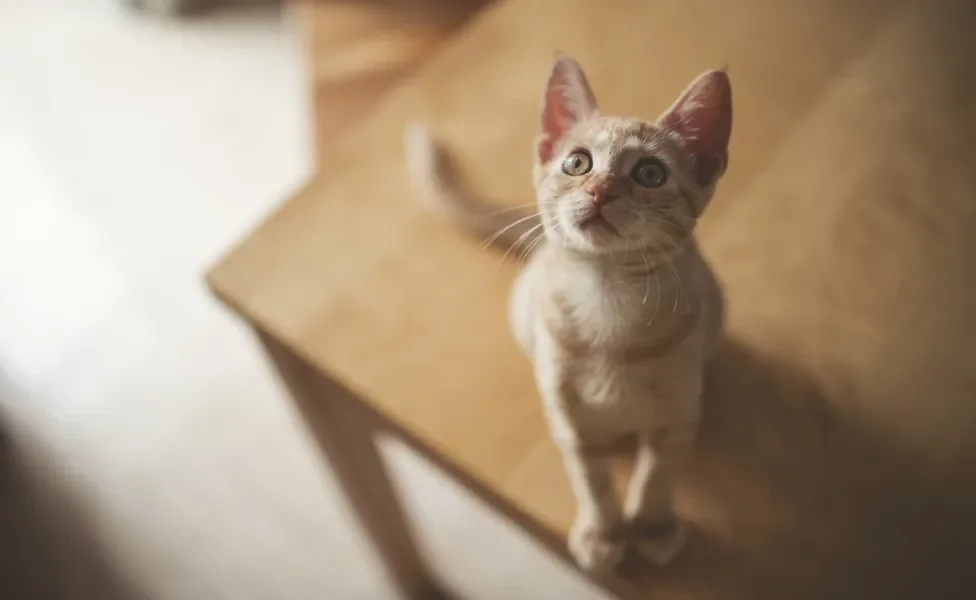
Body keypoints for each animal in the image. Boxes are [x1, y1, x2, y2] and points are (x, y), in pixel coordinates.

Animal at [400, 57, 728, 576]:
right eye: (578, 163)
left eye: (650, 173)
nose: (600, 190)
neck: (609, 305)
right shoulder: (571, 421)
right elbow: (593, 483)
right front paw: (603, 534)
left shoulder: (676, 417)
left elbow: (657, 475)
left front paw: (653, 527)